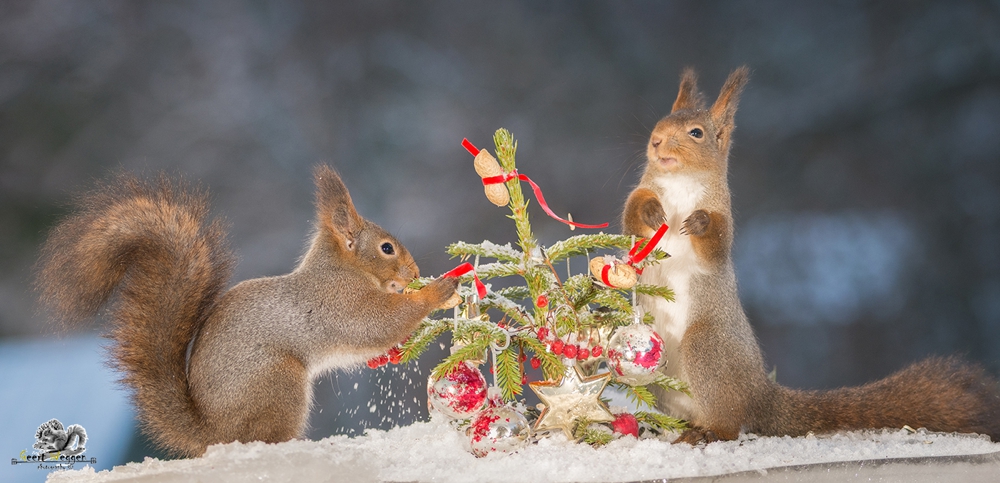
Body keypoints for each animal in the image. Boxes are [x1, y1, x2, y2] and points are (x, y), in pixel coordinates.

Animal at [34, 166, 458, 458]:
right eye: (387, 248)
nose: (415, 274)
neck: (341, 269)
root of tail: (212, 434)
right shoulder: (342, 303)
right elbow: (378, 325)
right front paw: (436, 292)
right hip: (278, 382)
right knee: (266, 437)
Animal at [624, 67, 1000, 446]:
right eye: (660, 122)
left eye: (696, 133)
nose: (656, 141)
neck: (680, 183)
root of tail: (761, 395)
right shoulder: (642, 207)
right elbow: (632, 218)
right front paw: (651, 209)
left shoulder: (722, 215)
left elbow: (715, 246)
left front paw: (699, 222)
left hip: (705, 346)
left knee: (730, 424)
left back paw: (707, 433)